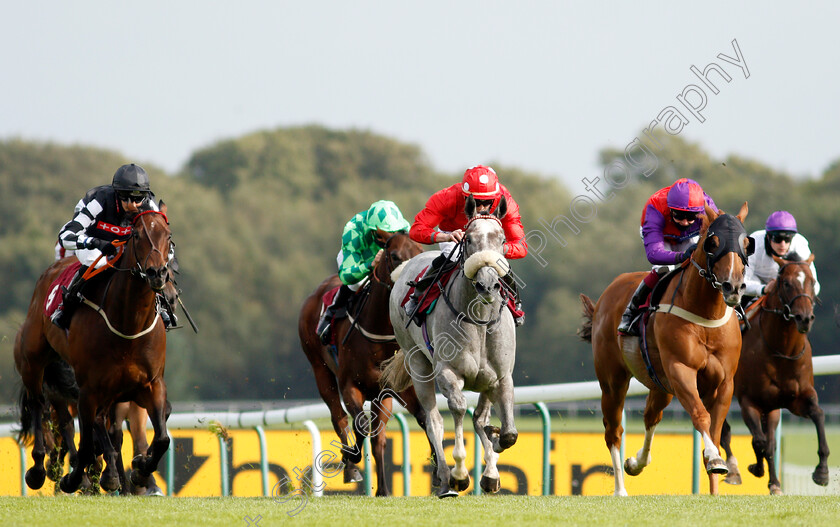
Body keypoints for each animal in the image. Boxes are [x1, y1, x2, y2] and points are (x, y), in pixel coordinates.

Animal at [14, 206, 172, 496]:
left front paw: (140, 470)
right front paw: (76, 479)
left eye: (168, 236)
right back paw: (41, 469)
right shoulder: (88, 390)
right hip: (33, 363)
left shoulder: (150, 384)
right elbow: (87, 443)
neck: (128, 324)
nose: (157, 273)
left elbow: (161, 438)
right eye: (136, 235)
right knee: (40, 406)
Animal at [298, 230, 434, 496]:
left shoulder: (394, 386)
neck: (378, 332)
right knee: (339, 418)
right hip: (320, 370)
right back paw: (350, 466)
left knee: (378, 437)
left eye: (420, 252)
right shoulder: (350, 385)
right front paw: (351, 457)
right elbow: (359, 424)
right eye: (394, 255)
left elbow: (421, 417)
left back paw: (382, 489)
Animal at [382, 197, 520, 500]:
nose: (488, 284)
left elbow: (506, 432)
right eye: (468, 239)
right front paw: (460, 473)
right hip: (418, 364)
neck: (479, 319)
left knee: (477, 418)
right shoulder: (448, 372)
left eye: (503, 239)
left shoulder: (500, 378)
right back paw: (446, 478)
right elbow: (457, 409)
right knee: (433, 419)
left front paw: (493, 462)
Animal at [580, 204, 752, 498]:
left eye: (746, 244)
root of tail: (606, 295)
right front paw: (714, 458)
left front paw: (716, 483)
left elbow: (716, 429)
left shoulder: (724, 381)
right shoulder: (681, 370)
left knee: (651, 416)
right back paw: (620, 489)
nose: (734, 286)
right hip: (613, 381)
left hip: (661, 385)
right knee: (614, 431)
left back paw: (637, 462)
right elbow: (701, 416)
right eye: (713, 243)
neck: (705, 315)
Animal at [716, 253, 828, 496]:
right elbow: (758, 442)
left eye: (812, 282)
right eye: (786, 283)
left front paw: (822, 472)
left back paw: (774, 482)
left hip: (773, 407)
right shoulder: (749, 401)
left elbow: (818, 415)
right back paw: (733, 469)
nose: (805, 318)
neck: (782, 351)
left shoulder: (797, 399)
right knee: (723, 428)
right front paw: (756, 468)